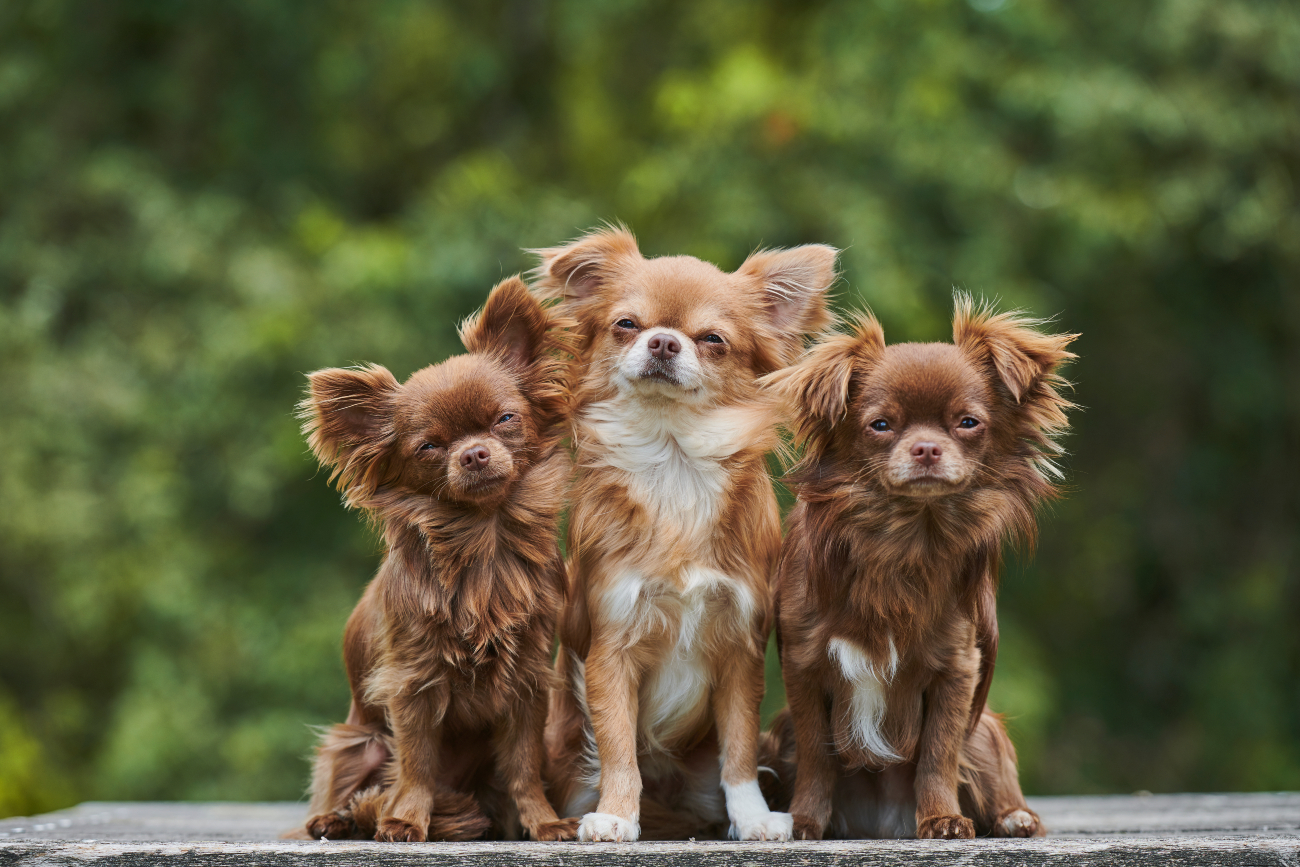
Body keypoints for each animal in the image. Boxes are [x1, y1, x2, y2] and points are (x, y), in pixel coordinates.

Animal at [299, 276, 579, 842]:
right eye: (429, 447)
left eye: (505, 419)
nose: (473, 453)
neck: (485, 541)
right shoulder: (412, 683)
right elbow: (417, 763)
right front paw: (405, 819)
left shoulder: (527, 681)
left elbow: (524, 766)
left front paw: (543, 822)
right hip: (355, 742)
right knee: (350, 783)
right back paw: (337, 819)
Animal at [533, 223, 837, 842]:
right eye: (627, 324)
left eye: (712, 339)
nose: (665, 343)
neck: (673, 464)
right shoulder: (611, 650)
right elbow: (619, 746)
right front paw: (615, 816)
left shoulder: (740, 651)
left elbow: (739, 750)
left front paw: (755, 819)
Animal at [759, 298, 1076, 842]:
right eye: (881, 425)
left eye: (967, 422)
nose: (926, 448)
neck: (904, 537)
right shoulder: (804, 667)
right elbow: (817, 755)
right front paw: (802, 821)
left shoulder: (957, 671)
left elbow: (938, 752)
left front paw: (941, 818)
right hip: (779, 736)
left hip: (983, 726)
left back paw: (1014, 816)